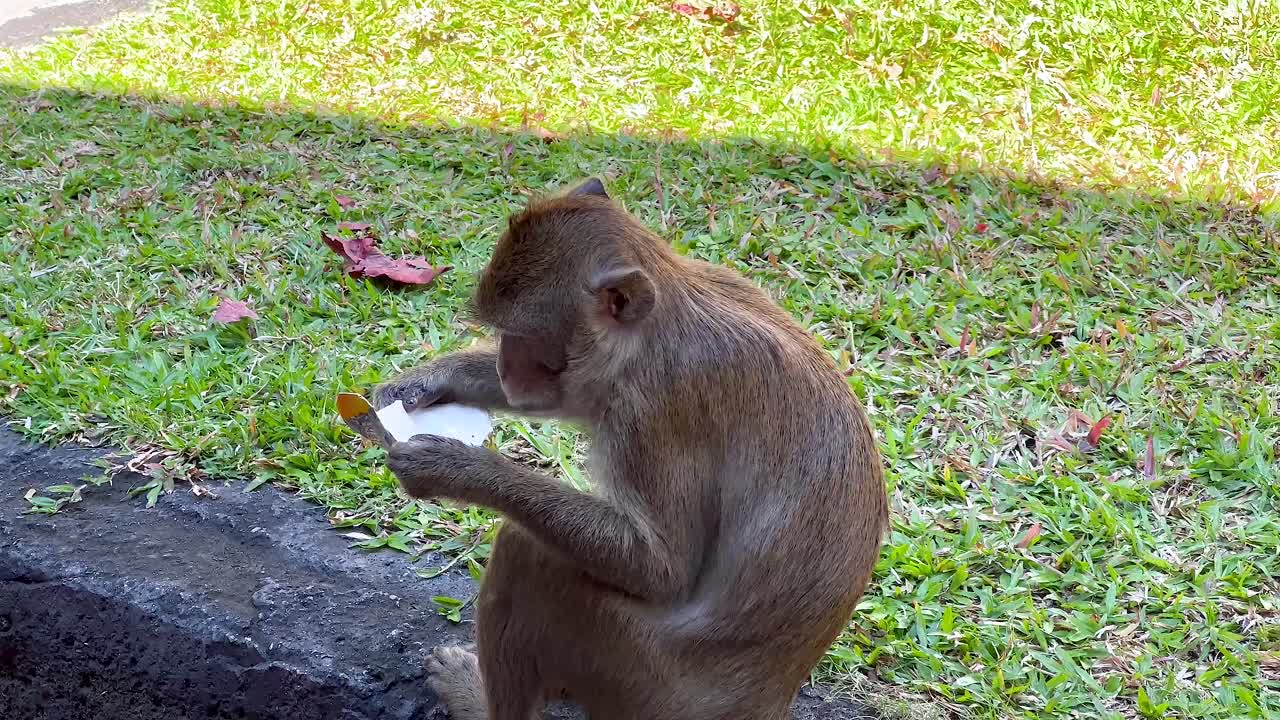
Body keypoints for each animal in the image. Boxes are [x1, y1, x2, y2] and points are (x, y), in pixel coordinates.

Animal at [374, 177, 887, 720]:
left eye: (523, 336)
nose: (506, 370)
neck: (656, 326)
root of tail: (763, 705)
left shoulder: (655, 409)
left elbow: (661, 569)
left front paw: (453, 468)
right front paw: (425, 383)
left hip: (637, 678)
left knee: (526, 554)